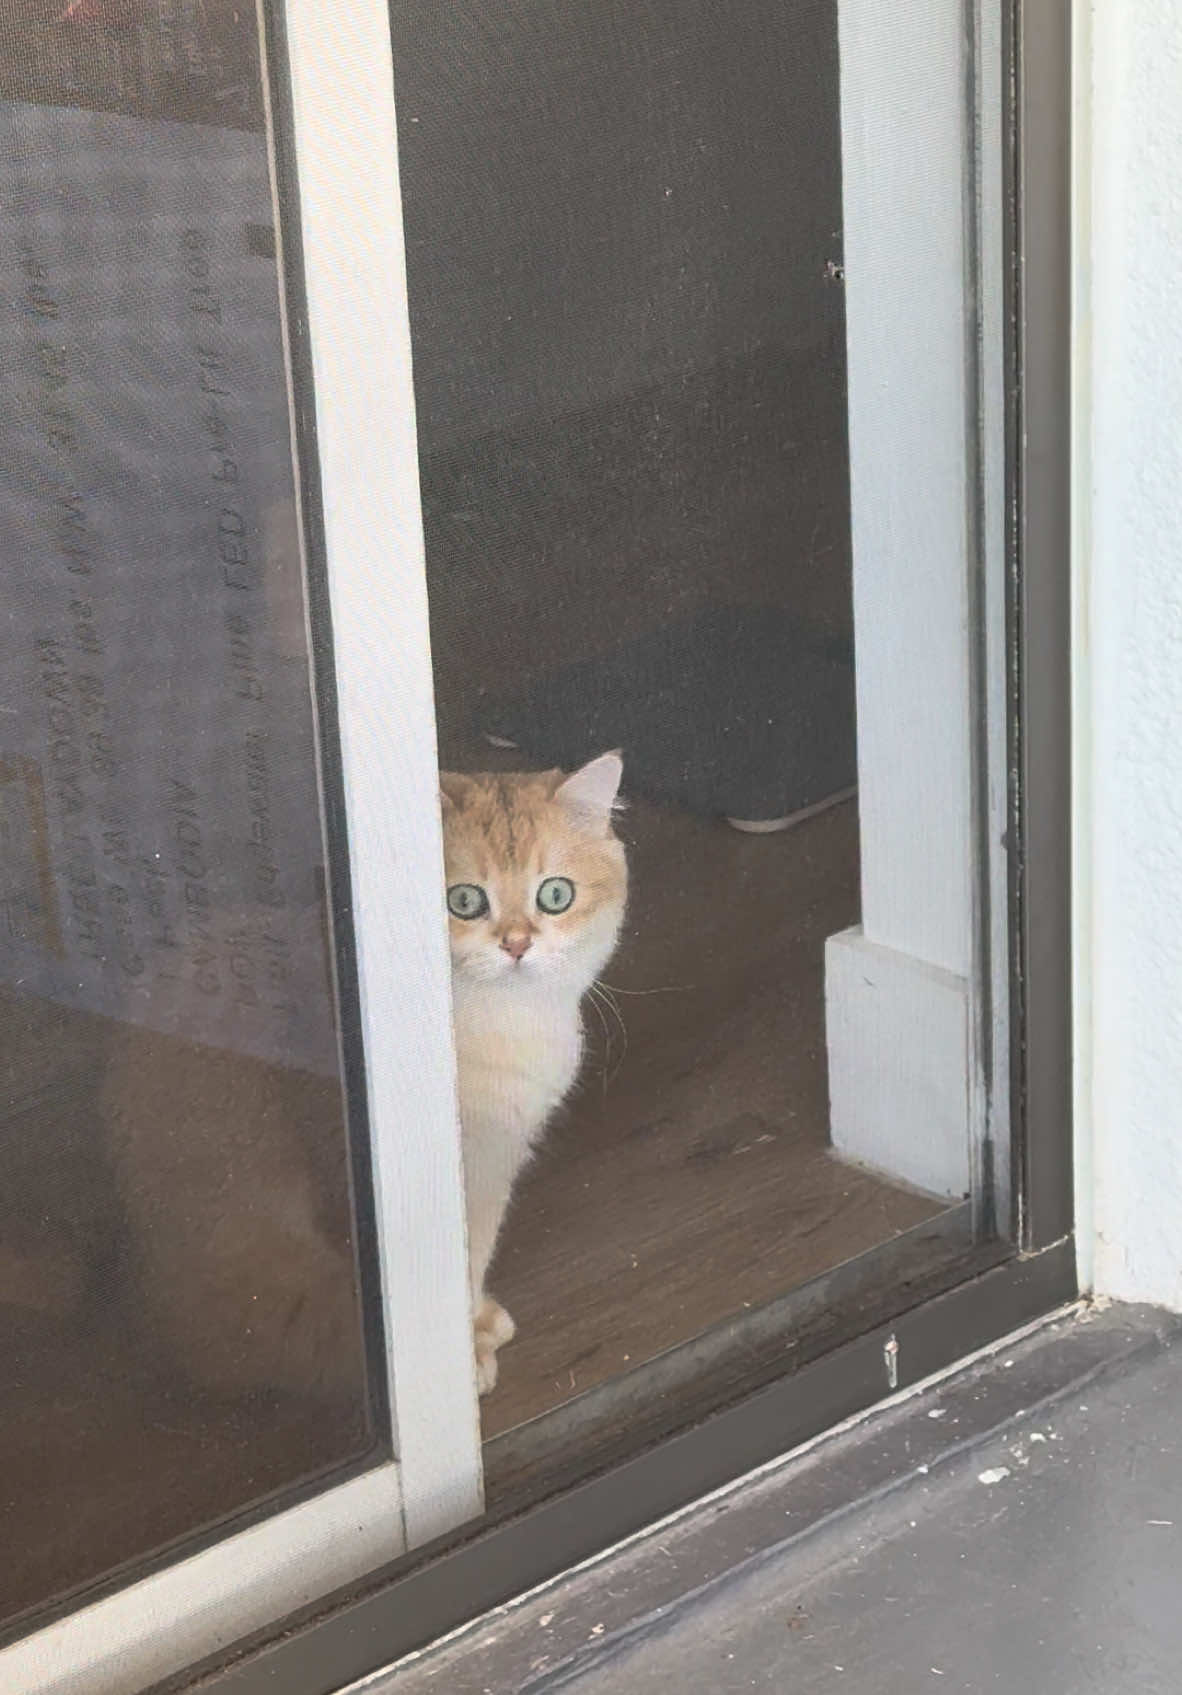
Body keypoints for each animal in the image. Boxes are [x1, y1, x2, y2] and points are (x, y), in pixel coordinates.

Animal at [437, 755, 627, 1389]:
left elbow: (475, 1248)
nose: (517, 943)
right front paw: (462, 1357)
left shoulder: (496, 1159)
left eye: (555, 894)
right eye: (463, 901)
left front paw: (474, 1323)